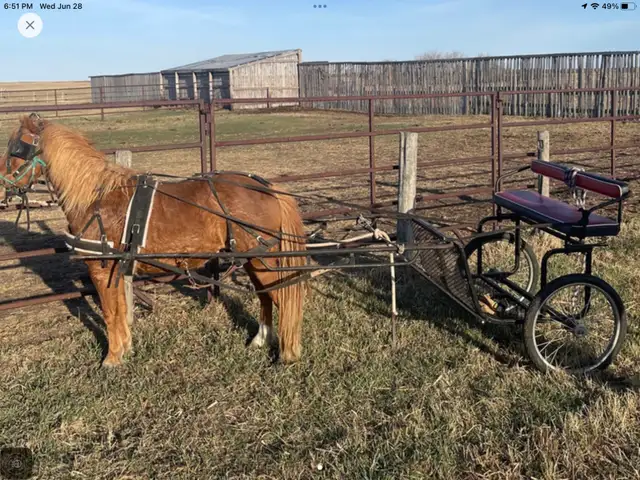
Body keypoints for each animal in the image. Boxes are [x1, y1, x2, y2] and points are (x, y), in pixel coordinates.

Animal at [0, 113, 308, 367]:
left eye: (16, 150)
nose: (3, 186)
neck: (96, 197)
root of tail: (268, 188)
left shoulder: (101, 269)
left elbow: (110, 313)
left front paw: (111, 359)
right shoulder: (117, 270)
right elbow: (121, 310)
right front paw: (125, 349)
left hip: (263, 260)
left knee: (282, 297)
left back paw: (287, 353)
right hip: (254, 258)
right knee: (266, 296)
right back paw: (260, 340)